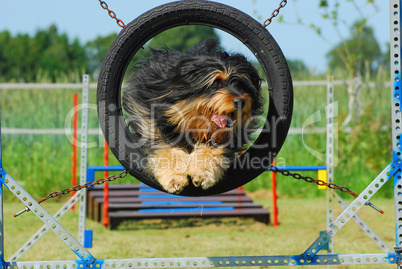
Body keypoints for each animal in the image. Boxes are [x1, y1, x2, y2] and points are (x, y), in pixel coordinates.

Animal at [124, 38, 266, 193]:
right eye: (216, 82)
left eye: (241, 84)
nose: (241, 101)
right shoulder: (152, 124)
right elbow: (165, 148)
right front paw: (174, 177)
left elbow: (212, 149)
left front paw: (202, 172)